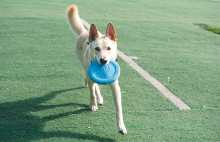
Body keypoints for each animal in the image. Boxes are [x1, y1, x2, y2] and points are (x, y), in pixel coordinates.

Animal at [66, 4, 126, 135]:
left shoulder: (115, 87)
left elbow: (119, 109)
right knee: (92, 84)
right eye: (97, 49)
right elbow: (92, 93)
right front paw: (93, 105)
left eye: (109, 48)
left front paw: (121, 127)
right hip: (84, 65)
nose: (103, 61)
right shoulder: (91, 77)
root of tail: (84, 31)